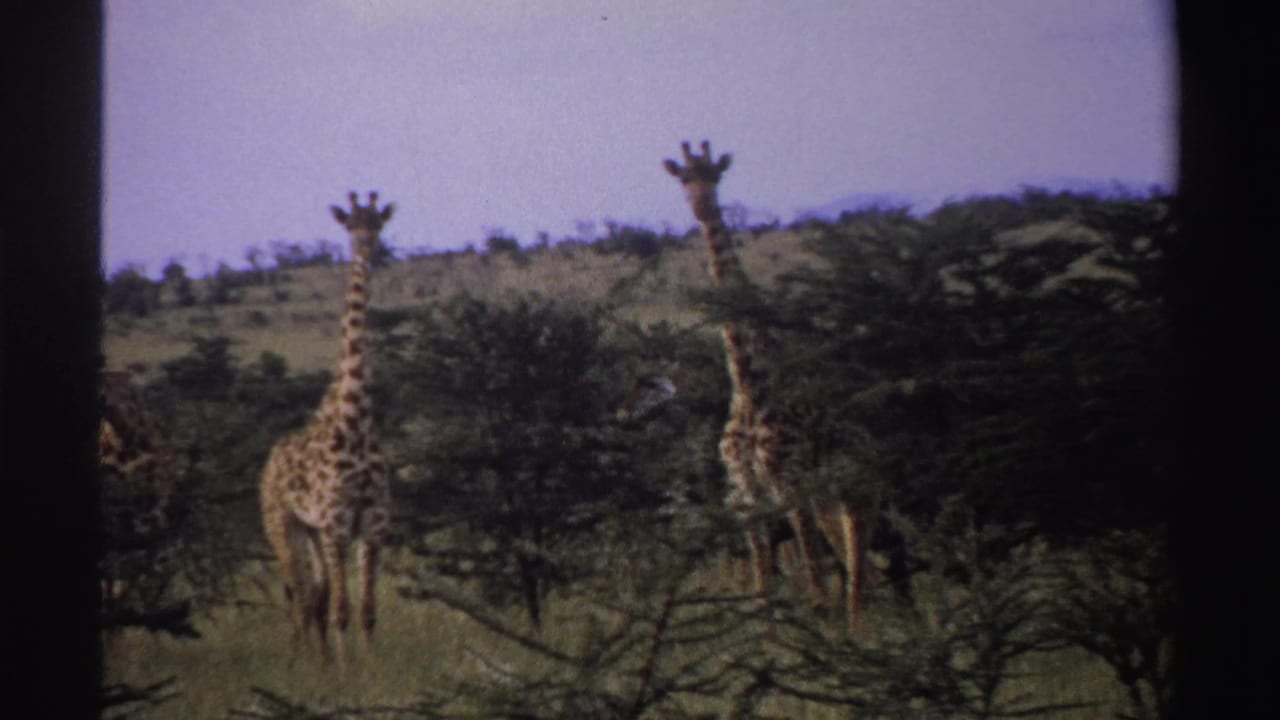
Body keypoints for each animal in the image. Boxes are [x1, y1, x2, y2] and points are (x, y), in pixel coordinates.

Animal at [259, 191, 394, 669]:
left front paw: (371, 671)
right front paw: (349, 674)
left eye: (378, 224)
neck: (355, 419)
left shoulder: (373, 523)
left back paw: (319, 662)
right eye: (350, 226)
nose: (367, 249)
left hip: (313, 533)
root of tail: (268, 463)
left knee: (312, 597)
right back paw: (303, 664)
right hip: (282, 525)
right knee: (300, 598)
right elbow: (341, 609)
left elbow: (367, 610)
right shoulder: (336, 523)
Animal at [663, 141, 870, 632]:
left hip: (852, 476)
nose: (702, 207)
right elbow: (764, 583)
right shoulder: (752, 493)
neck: (749, 382)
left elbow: (813, 579)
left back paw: (866, 629)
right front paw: (769, 637)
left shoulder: (786, 481)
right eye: (684, 178)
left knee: (859, 552)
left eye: (716, 176)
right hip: (825, 489)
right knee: (850, 552)